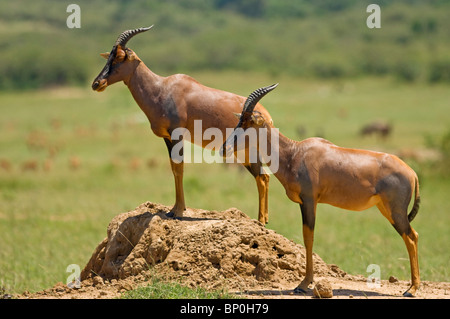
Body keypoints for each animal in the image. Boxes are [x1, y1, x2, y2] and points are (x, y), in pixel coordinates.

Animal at [92, 26, 270, 224]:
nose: (97, 83)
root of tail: (265, 116)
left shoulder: (177, 135)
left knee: (262, 176)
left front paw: (177, 211)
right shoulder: (167, 138)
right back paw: (263, 220)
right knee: (263, 175)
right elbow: (174, 168)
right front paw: (175, 209)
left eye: (120, 56)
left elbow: (179, 168)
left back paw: (262, 221)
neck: (162, 88)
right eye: (109, 56)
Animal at [221, 84, 422, 298]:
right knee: (411, 236)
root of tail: (412, 172)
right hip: (386, 209)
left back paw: (412, 289)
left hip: (396, 211)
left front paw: (303, 284)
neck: (295, 153)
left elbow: (308, 237)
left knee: (411, 237)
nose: (224, 149)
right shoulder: (307, 202)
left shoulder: (309, 200)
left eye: (249, 122)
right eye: (239, 120)